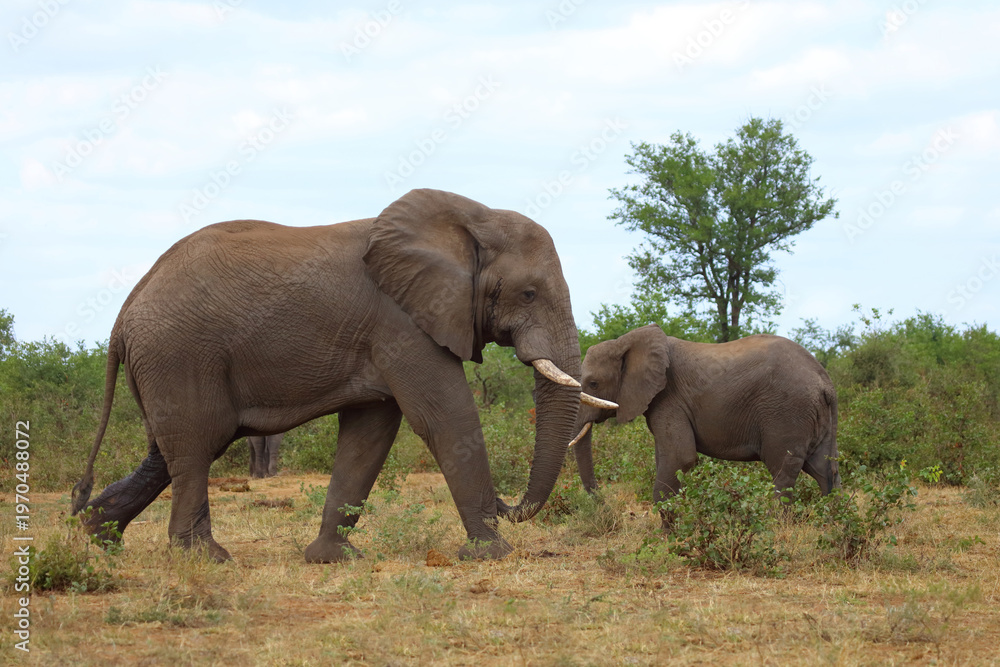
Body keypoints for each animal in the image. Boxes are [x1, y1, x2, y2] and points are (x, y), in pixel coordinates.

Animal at [71, 189, 614, 563]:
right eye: (528, 294)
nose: (505, 504)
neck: (471, 218)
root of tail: (124, 314)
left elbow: (369, 434)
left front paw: (331, 559)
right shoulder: (403, 320)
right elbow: (445, 417)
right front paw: (490, 554)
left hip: (166, 363)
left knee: (169, 451)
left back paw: (98, 538)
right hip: (179, 355)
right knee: (195, 446)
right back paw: (205, 559)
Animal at [570, 324, 840, 520]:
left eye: (593, 384)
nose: (602, 503)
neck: (626, 342)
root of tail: (825, 380)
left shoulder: (670, 399)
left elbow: (680, 457)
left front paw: (670, 539)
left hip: (786, 413)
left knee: (783, 471)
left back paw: (777, 527)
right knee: (824, 469)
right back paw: (834, 523)